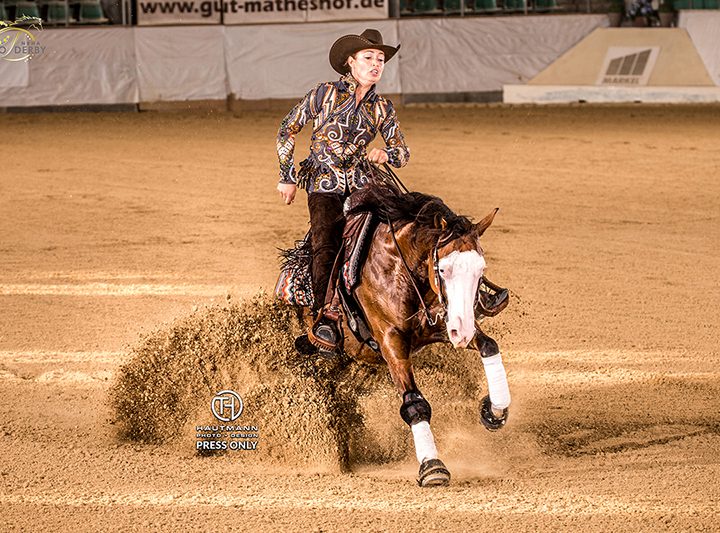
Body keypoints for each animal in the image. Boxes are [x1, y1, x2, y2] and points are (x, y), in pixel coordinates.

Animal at [278, 176, 510, 486]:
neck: (400, 269)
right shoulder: (391, 340)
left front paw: (495, 411)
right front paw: (432, 466)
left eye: (480, 269)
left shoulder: (444, 321)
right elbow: (414, 402)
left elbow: (489, 345)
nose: (461, 332)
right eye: (443, 269)